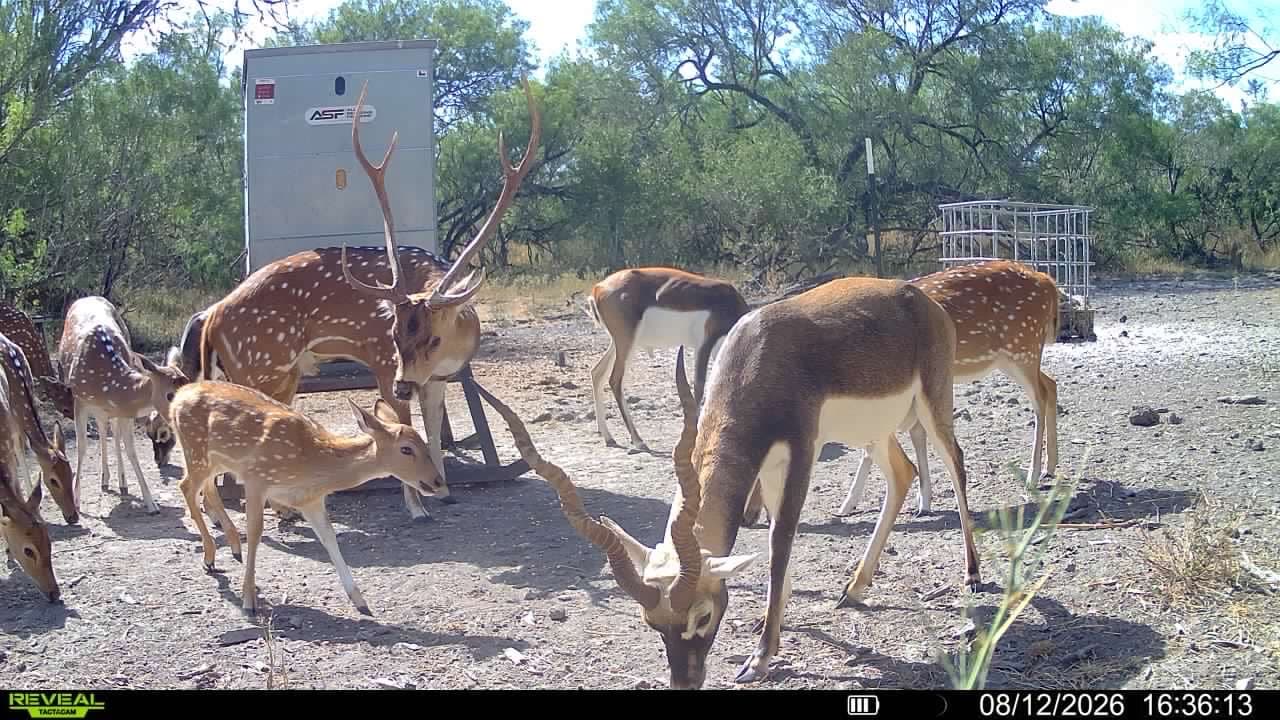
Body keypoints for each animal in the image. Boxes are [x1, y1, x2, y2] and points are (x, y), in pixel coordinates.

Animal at [57, 296, 190, 515]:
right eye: (170, 394)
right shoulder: (79, 401)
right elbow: (81, 447)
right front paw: (76, 502)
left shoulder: (125, 411)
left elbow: (130, 450)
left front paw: (151, 504)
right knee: (103, 430)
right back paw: (105, 480)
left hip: (112, 411)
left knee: (110, 432)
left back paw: (119, 482)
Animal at [167, 380, 442, 617]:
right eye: (406, 448)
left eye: (423, 442)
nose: (438, 481)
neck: (310, 464)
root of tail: (177, 397)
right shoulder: (257, 479)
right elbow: (256, 533)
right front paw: (248, 601)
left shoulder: (310, 500)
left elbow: (329, 538)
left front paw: (360, 601)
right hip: (196, 451)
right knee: (186, 487)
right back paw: (210, 557)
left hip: (214, 460)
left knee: (207, 488)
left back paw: (233, 548)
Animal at [187, 78, 541, 522]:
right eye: (392, 334)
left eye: (433, 338)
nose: (405, 386)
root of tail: (211, 316)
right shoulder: (384, 365)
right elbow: (401, 429)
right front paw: (417, 507)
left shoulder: (436, 379)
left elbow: (433, 433)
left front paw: (445, 492)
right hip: (260, 365)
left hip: (281, 374)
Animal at [584, 267, 749, 452]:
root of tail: (598, 288)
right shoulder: (704, 345)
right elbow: (699, 388)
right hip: (627, 342)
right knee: (614, 379)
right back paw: (638, 440)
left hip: (619, 343)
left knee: (597, 372)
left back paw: (608, 437)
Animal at [827, 259, 1061, 518]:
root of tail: (1047, 281)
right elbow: (914, 434)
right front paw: (923, 500)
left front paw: (847, 504)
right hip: (1012, 357)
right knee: (1051, 384)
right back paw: (1050, 466)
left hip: (1023, 347)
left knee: (1040, 397)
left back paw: (1033, 475)